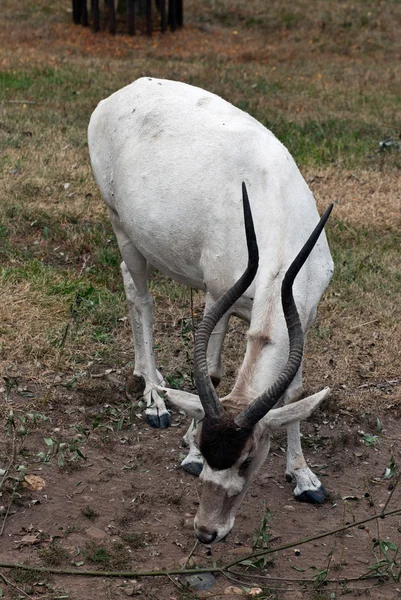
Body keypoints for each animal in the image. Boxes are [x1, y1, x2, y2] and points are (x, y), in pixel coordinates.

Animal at [88, 78, 334, 544]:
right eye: (208, 446)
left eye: (247, 459)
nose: (206, 531)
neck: (272, 204)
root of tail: (124, 92)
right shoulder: (217, 293)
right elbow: (215, 374)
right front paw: (189, 455)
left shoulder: (306, 316)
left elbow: (294, 393)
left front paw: (304, 477)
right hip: (121, 225)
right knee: (140, 298)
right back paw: (155, 397)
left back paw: (150, 376)